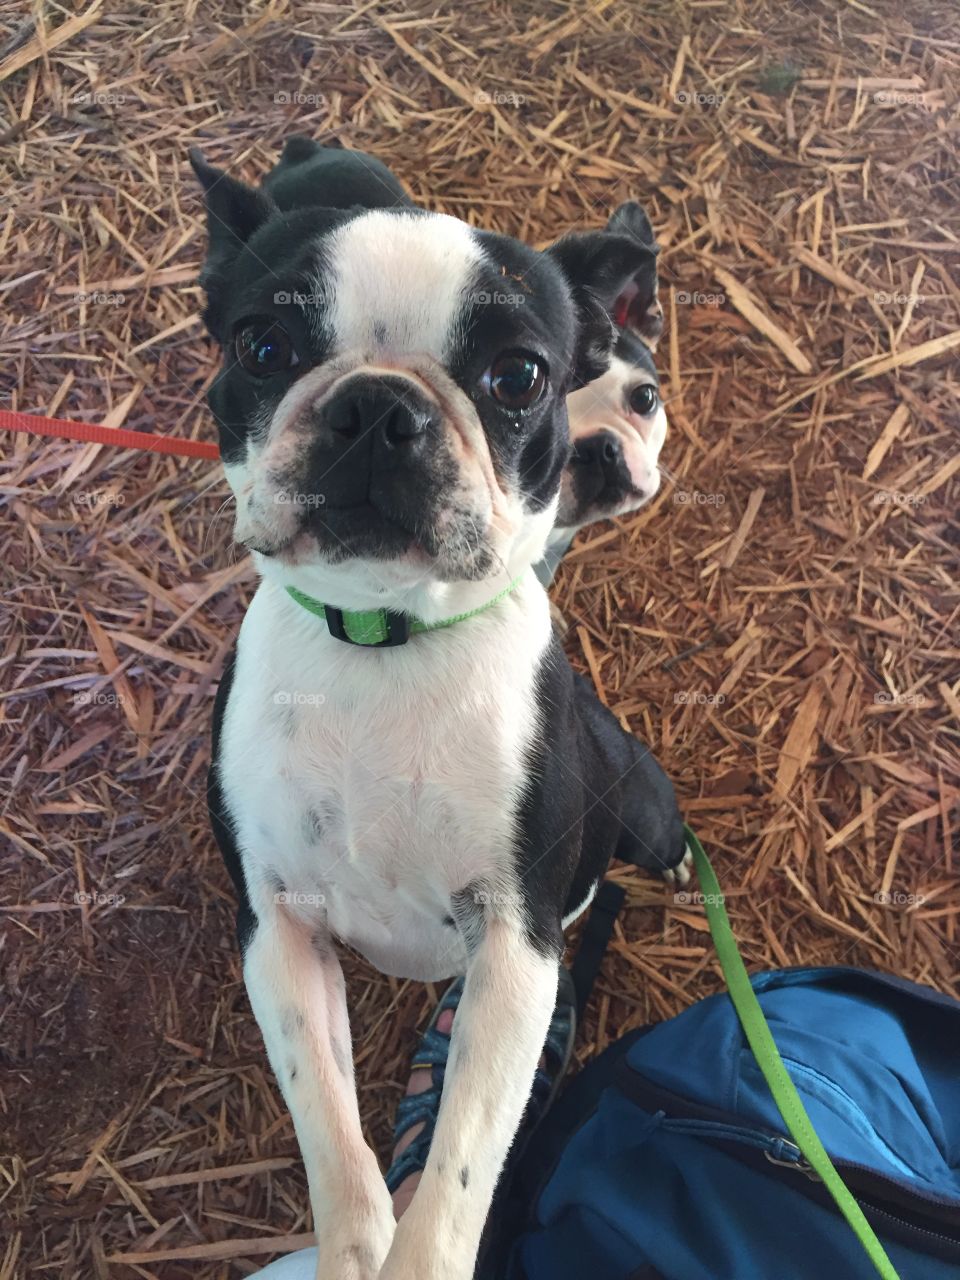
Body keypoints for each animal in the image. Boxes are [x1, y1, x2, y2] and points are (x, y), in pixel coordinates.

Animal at [192, 137, 686, 1280]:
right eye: (264, 345)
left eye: (520, 376)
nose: (378, 408)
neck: (384, 639)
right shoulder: (276, 928)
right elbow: (327, 1118)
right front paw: (354, 1245)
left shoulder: (516, 946)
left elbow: (462, 1155)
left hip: (638, 813)